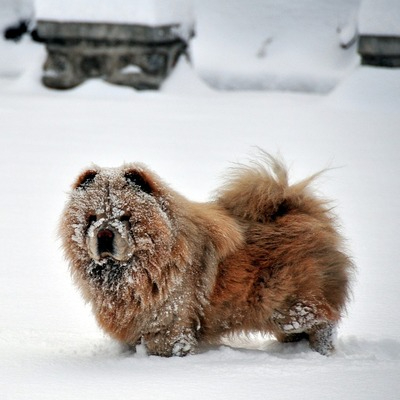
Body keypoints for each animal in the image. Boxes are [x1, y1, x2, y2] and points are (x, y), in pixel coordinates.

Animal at [58, 154, 350, 356]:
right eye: (92, 218)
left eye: (124, 218)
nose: (104, 234)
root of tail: (302, 212)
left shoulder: (169, 325)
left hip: (290, 308)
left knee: (323, 321)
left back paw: (320, 351)